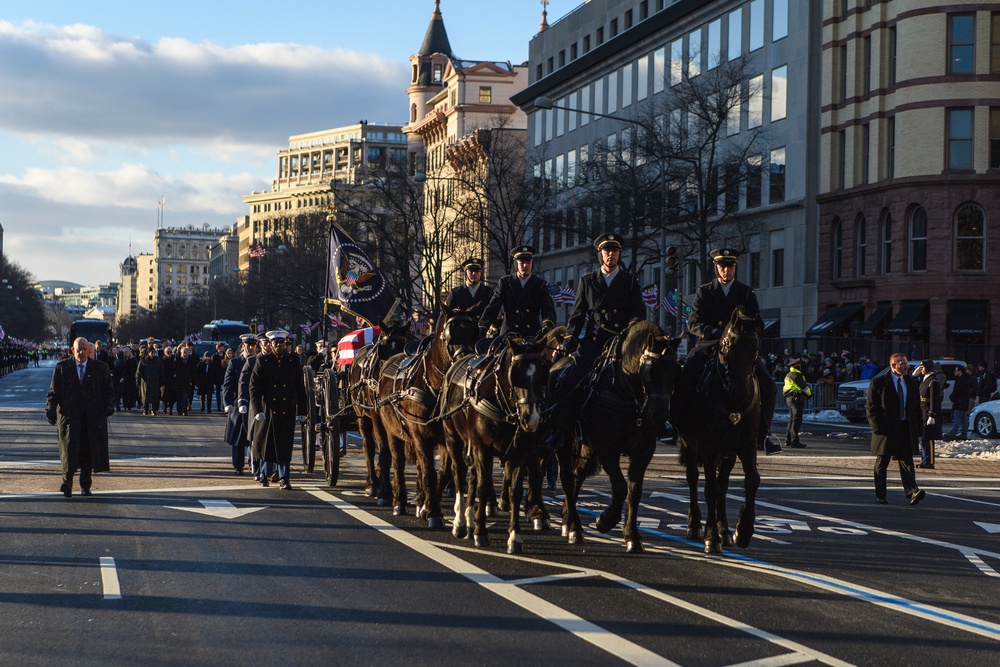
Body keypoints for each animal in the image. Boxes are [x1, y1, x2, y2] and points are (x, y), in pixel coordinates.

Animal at [348, 320, 414, 504]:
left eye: (404, 346)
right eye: (383, 348)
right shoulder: (377, 416)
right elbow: (384, 451)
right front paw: (385, 491)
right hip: (362, 416)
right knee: (369, 447)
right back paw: (372, 483)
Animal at [370, 306, 478, 528]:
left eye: (474, 333)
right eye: (450, 335)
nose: (466, 365)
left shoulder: (446, 438)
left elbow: (443, 472)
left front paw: (428, 507)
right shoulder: (421, 436)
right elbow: (429, 471)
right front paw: (434, 513)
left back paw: (419, 501)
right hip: (392, 431)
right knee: (397, 460)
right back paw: (399, 501)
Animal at [440, 336, 552, 552]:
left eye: (542, 375)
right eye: (515, 375)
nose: (531, 419)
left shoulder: (521, 452)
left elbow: (515, 490)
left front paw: (514, 537)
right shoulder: (481, 448)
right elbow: (484, 485)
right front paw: (481, 533)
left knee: (472, 475)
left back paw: (469, 519)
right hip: (452, 437)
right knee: (459, 472)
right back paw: (460, 522)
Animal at [556, 320, 680, 556]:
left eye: (676, 373)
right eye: (650, 372)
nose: (659, 417)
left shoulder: (644, 450)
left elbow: (634, 490)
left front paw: (632, 536)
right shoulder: (606, 448)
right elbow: (620, 486)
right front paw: (605, 520)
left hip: (586, 447)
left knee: (577, 475)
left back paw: (569, 520)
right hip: (562, 441)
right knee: (567, 478)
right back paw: (575, 527)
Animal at [672, 306, 764, 552]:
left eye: (755, 348)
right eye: (727, 346)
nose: (739, 392)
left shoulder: (746, 444)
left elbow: (751, 480)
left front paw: (743, 530)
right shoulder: (708, 446)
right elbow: (710, 489)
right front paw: (711, 537)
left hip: (728, 452)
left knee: (723, 485)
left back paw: (725, 531)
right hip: (690, 444)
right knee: (693, 478)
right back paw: (694, 525)